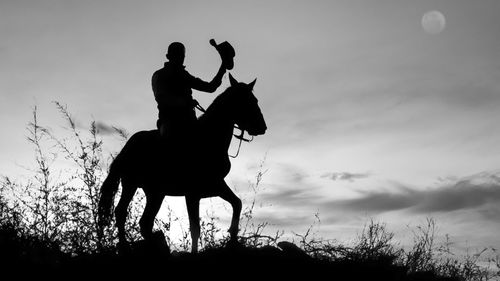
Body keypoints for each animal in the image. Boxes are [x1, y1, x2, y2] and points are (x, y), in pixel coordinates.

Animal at [99, 74, 268, 252]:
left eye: (255, 100)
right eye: (247, 101)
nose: (262, 127)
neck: (208, 139)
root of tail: (128, 147)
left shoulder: (216, 185)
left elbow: (237, 203)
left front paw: (233, 238)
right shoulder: (192, 193)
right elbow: (195, 228)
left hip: (155, 193)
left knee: (144, 222)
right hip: (131, 184)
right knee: (122, 212)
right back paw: (127, 246)